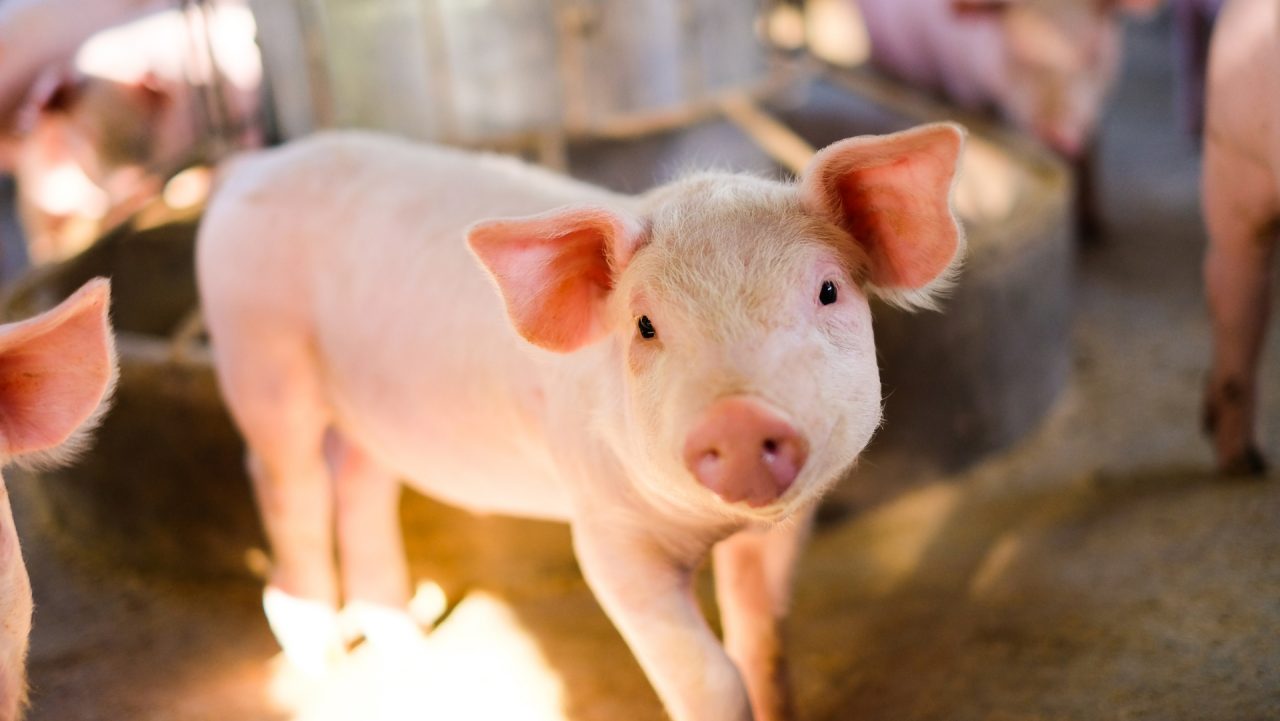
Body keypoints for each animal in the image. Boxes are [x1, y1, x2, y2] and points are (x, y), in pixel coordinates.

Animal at [194, 124, 962, 721]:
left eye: (828, 290)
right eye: (645, 325)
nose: (739, 418)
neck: (712, 529)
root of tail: (247, 168)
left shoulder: (782, 527)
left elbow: (762, 640)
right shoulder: (607, 534)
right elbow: (709, 675)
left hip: (369, 410)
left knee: (361, 480)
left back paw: (408, 640)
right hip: (259, 354)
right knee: (288, 481)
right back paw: (321, 662)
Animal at [855, 0, 1167, 236]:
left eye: (1091, 52)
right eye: (1015, 51)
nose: (1056, 134)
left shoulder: (1096, 107)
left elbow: (1090, 152)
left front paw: (1097, 230)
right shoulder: (963, 86)